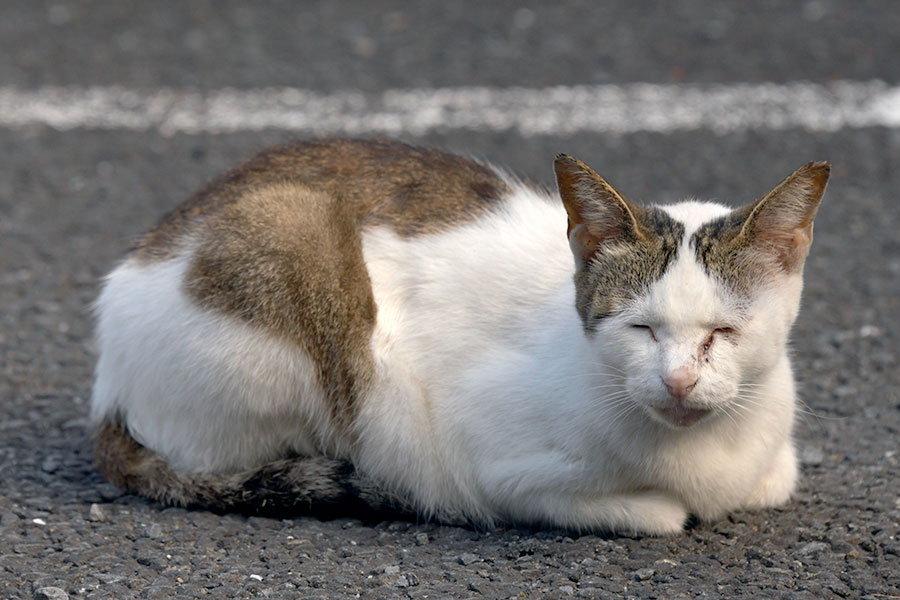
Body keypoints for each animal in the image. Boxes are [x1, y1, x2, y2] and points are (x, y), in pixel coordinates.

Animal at [91, 139, 828, 536]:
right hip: (292, 242)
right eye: (640, 328)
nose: (678, 380)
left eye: (724, 332)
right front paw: (656, 506)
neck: (705, 454)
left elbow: (775, 477)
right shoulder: (483, 461)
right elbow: (653, 513)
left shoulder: (772, 454)